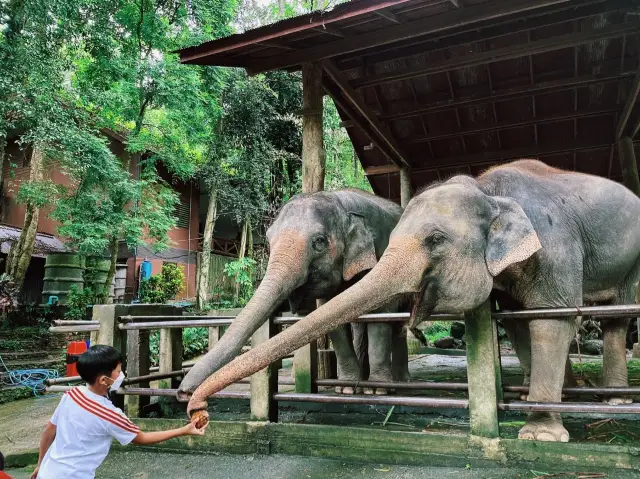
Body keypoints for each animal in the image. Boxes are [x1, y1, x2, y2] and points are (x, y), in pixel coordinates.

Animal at [176, 189, 410, 404]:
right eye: (268, 240)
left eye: (319, 241)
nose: (183, 393)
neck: (339, 200)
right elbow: (333, 321)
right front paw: (345, 389)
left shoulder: (382, 250)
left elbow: (382, 315)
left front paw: (377, 391)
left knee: (398, 324)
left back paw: (399, 383)